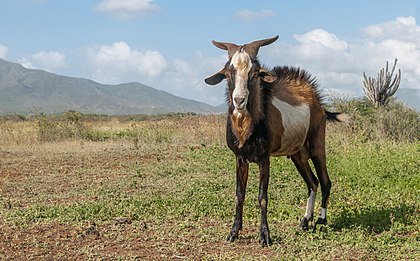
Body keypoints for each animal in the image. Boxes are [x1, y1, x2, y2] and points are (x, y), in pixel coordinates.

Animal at [204, 35, 348, 245]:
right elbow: (239, 195)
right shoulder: (240, 158)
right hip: (298, 154)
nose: (239, 101)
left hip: (317, 146)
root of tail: (319, 105)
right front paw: (233, 232)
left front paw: (265, 236)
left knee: (325, 181)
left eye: (255, 73)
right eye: (228, 73)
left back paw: (320, 221)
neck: (247, 128)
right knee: (312, 182)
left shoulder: (264, 158)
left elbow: (262, 196)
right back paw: (304, 221)